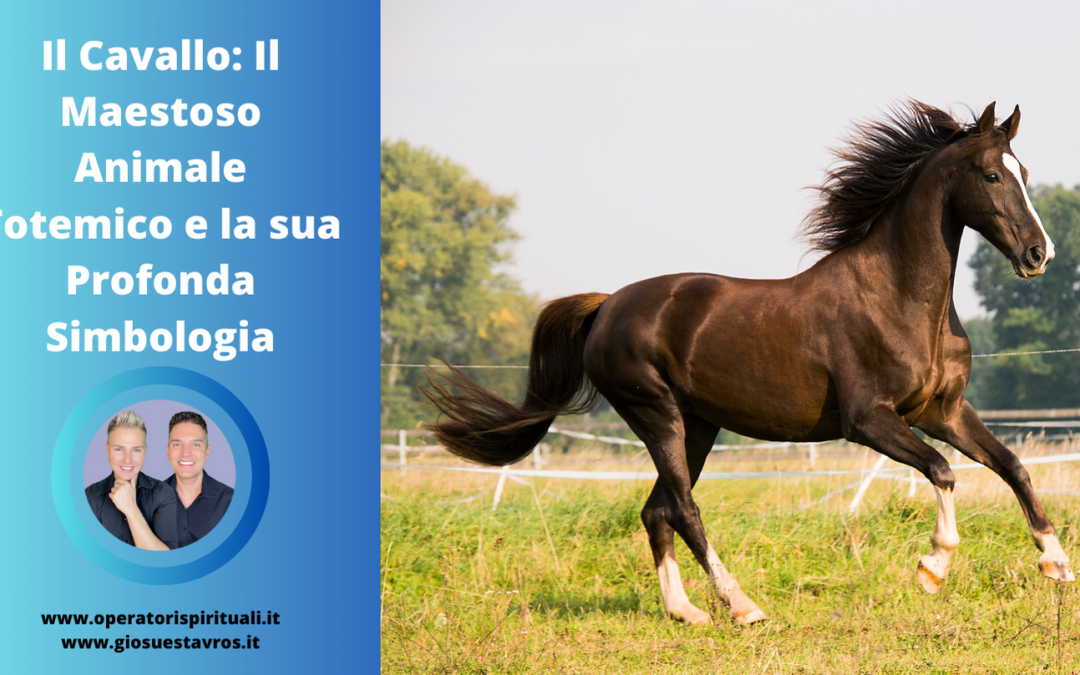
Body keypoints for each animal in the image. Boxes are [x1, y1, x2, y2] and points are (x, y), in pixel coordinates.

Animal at [421, 101, 1075, 626]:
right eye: (991, 174)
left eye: (1023, 172)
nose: (1038, 254)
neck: (900, 300)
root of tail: (607, 305)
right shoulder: (869, 420)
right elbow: (942, 471)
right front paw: (932, 567)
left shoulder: (943, 411)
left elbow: (1012, 465)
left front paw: (1056, 562)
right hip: (656, 414)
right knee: (683, 508)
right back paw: (742, 606)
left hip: (698, 425)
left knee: (656, 510)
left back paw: (686, 612)